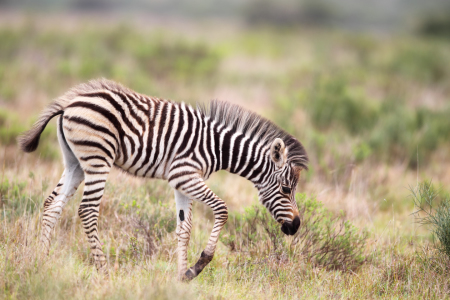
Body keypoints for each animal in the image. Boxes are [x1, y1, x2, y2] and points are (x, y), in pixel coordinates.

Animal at [17, 78, 306, 280]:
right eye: (285, 189)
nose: (296, 226)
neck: (216, 147)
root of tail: (69, 102)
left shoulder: (182, 182)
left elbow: (184, 228)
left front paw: (183, 275)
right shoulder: (184, 173)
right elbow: (222, 209)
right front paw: (200, 263)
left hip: (74, 162)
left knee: (52, 205)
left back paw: (40, 261)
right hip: (97, 158)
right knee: (87, 210)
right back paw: (104, 271)